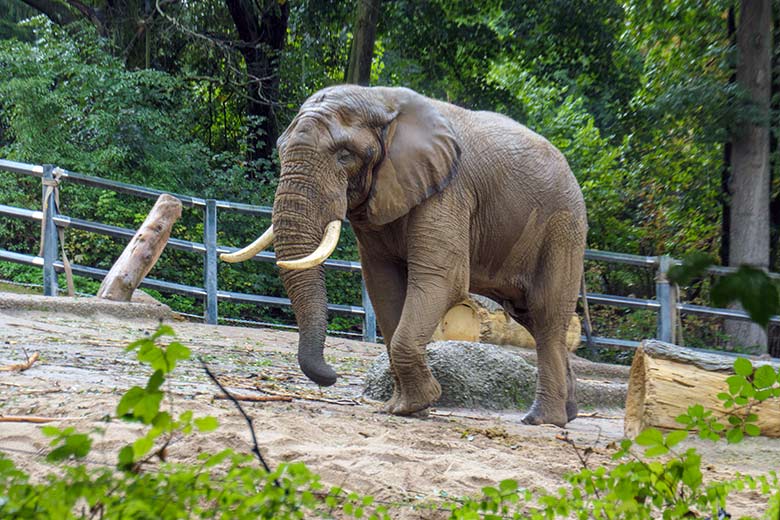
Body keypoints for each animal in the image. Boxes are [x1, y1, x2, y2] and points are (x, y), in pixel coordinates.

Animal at [219, 84, 584, 426]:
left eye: (344, 155)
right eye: (280, 150)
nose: (331, 376)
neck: (380, 101)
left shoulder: (449, 190)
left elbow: (442, 279)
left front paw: (416, 405)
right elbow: (383, 285)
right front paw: (404, 408)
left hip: (563, 227)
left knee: (546, 315)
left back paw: (542, 420)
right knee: (531, 318)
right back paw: (568, 415)